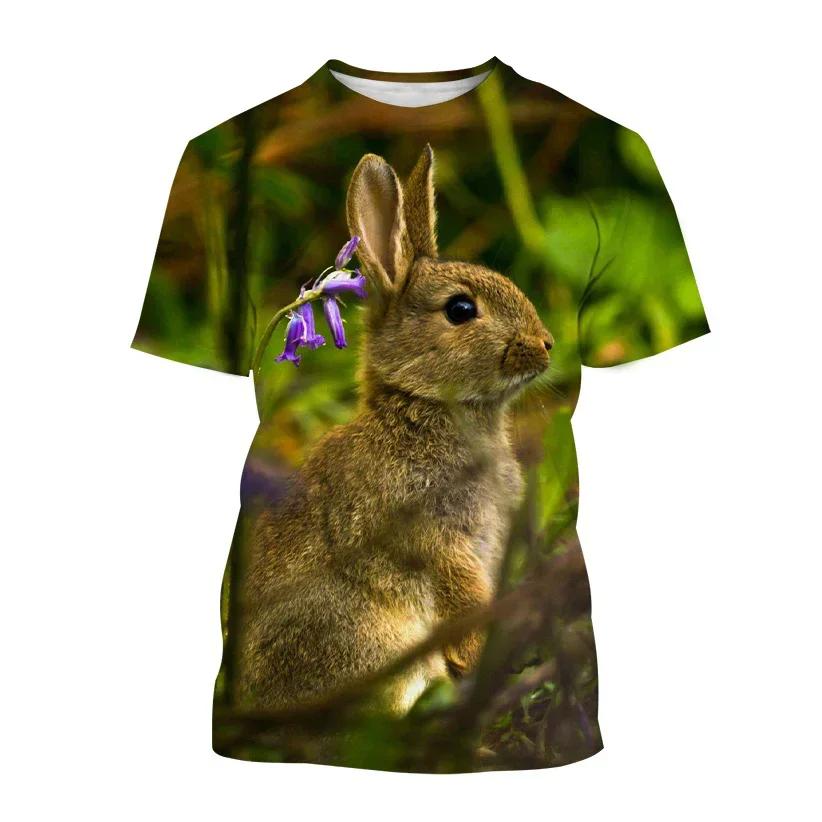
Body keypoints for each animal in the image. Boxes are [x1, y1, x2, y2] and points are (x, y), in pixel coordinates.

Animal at [237, 145, 554, 715]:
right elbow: (463, 599)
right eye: (460, 309)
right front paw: (484, 657)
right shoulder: (434, 536)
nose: (546, 344)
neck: (420, 408)